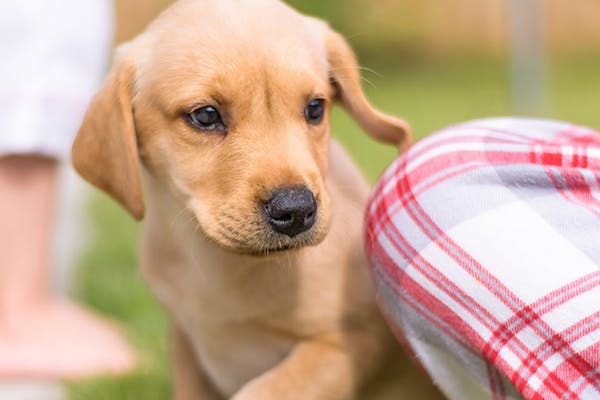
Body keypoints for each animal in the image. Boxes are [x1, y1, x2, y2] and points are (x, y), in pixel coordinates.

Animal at [71, 0, 446, 400]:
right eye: (206, 115)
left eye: (315, 108)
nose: (296, 210)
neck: (217, 261)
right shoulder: (186, 344)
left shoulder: (349, 343)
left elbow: (267, 389)